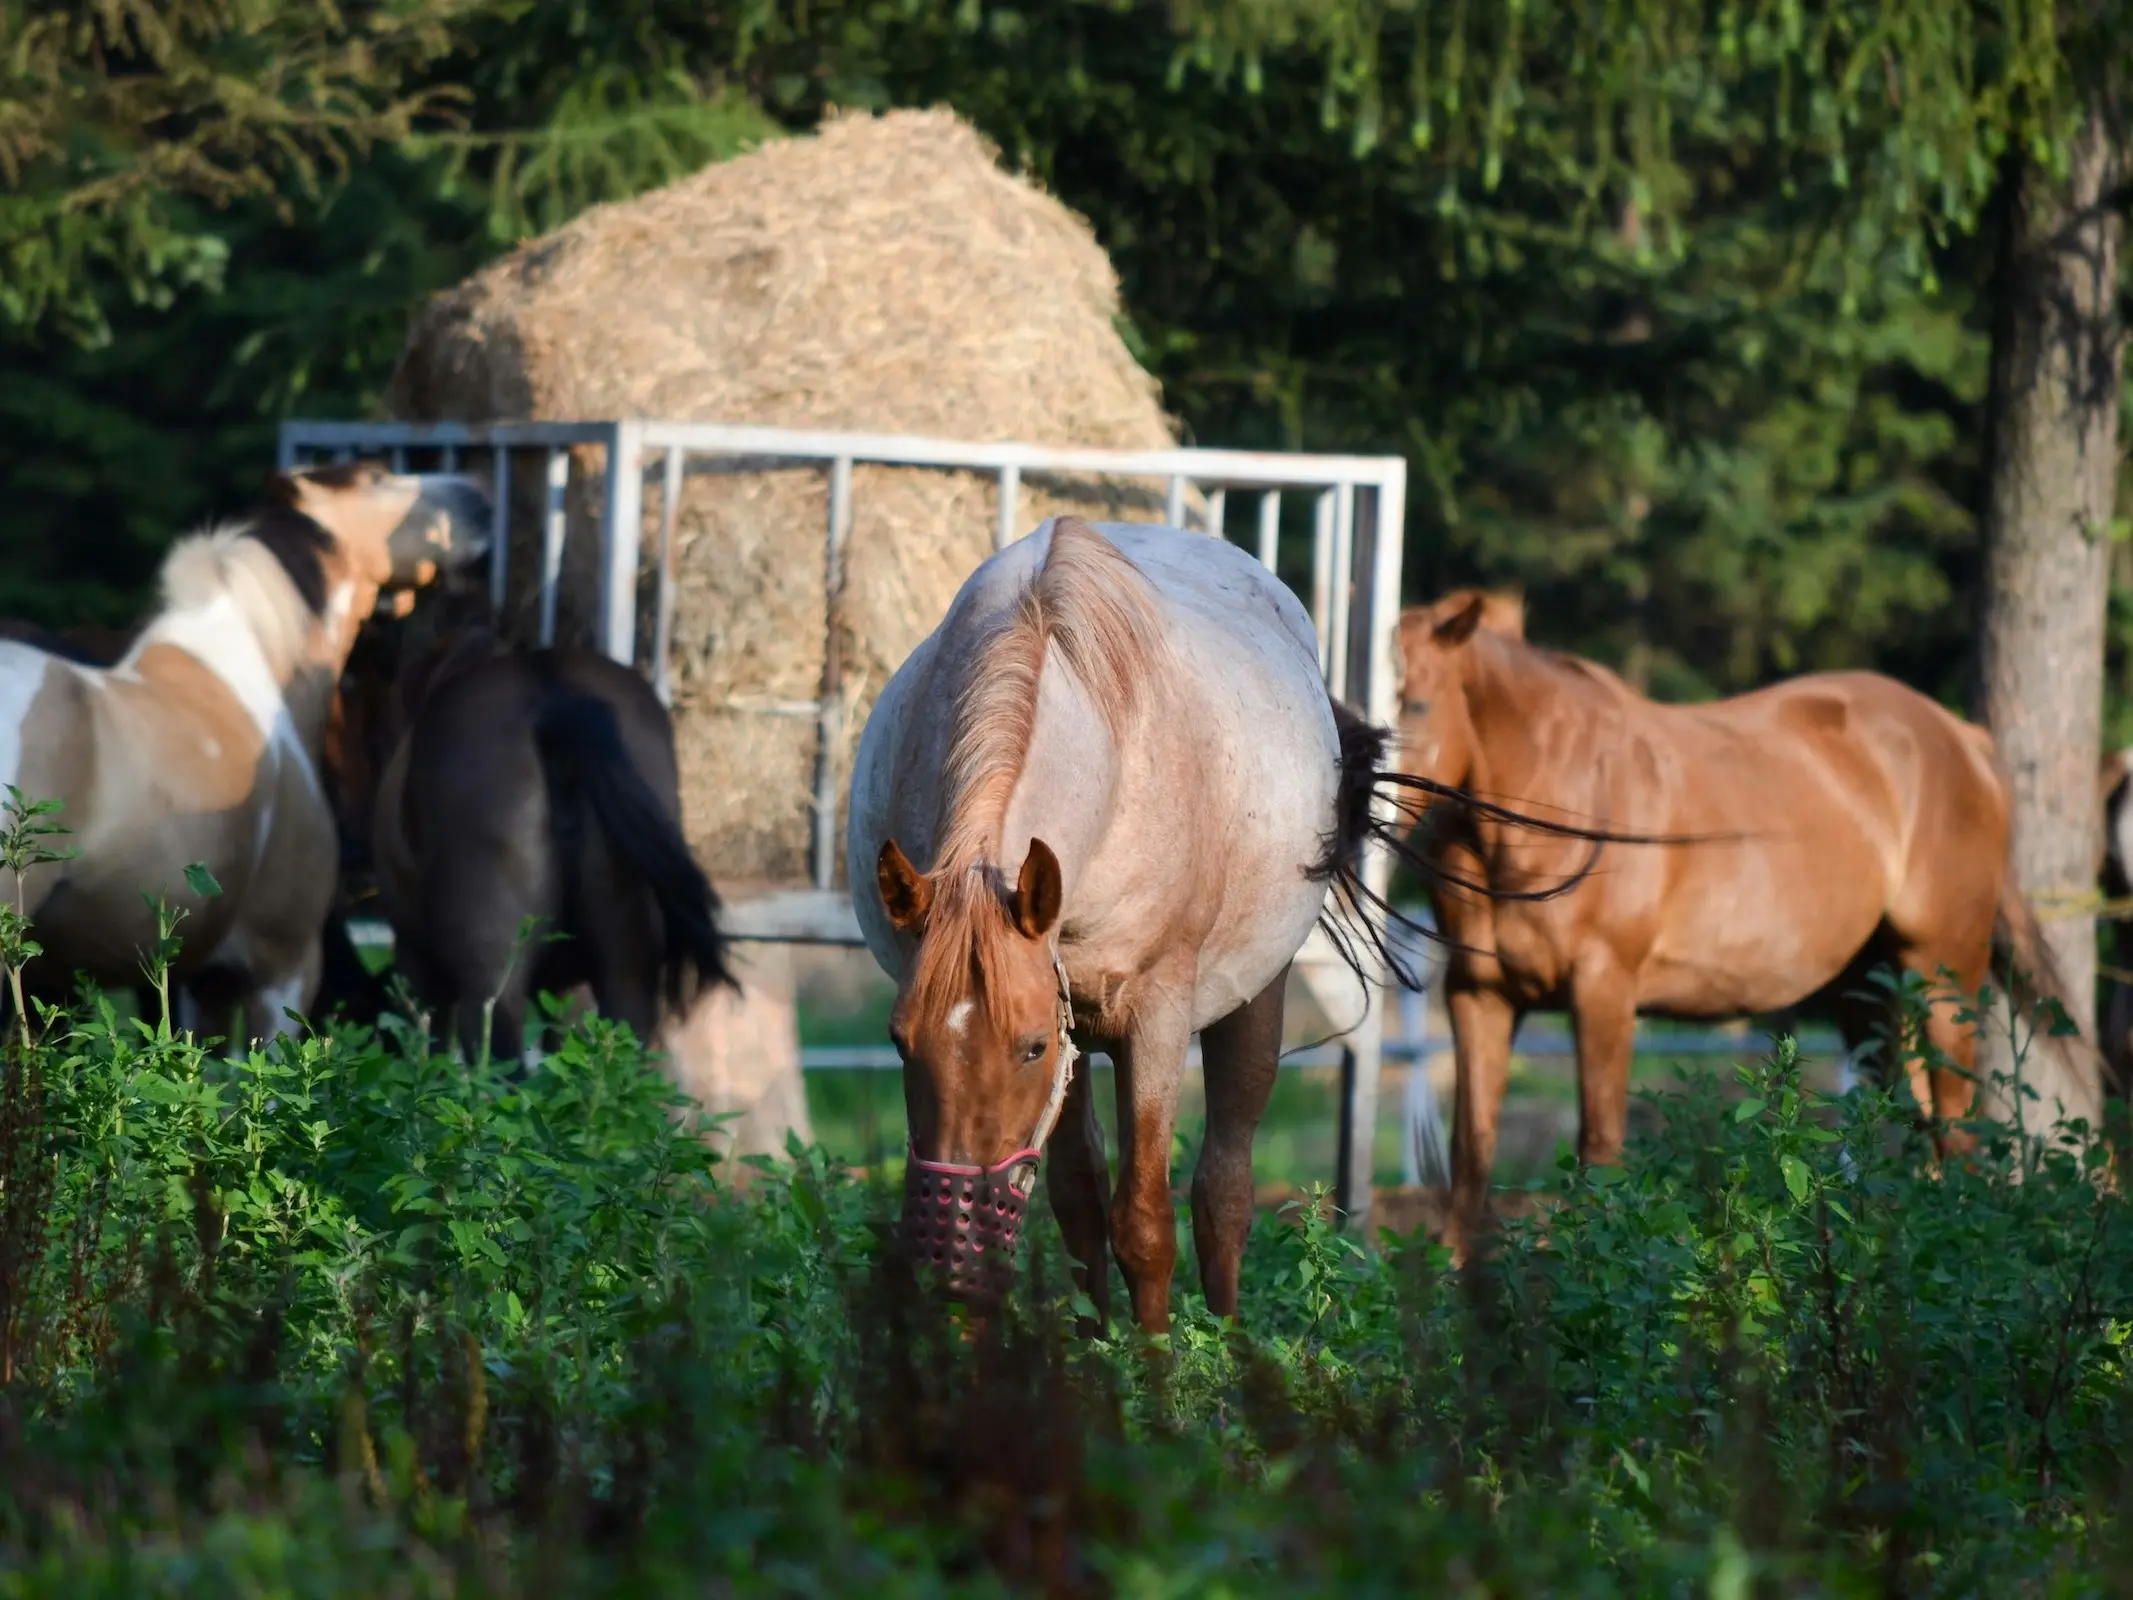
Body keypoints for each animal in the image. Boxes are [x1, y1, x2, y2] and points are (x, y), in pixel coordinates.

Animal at [848, 520, 1382, 1331]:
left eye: (1030, 1048)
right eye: (898, 1041)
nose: (952, 1268)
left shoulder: (1150, 1024)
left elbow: (1146, 1225)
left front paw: (1153, 1361)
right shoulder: (1061, 1003)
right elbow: (1078, 1205)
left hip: (1254, 1000)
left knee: (1223, 1192)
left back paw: (1231, 1345)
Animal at [1390, 588, 2090, 1254]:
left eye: (1416, 704)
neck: (1557, 800)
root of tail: (1962, 739)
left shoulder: (1603, 991)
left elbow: (1600, 1146)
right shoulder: (1480, 995)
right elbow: (1470, 1152)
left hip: (1942, 978)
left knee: (1954, 1125)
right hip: (1869, 993)